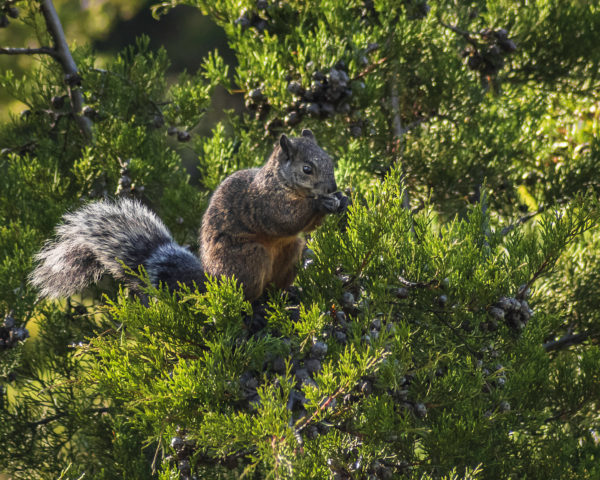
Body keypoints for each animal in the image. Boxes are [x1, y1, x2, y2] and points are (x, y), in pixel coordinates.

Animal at [29, 127, 346, 300]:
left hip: (291, 251)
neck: (282, 182)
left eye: (330, 159)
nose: (332, 186)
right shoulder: (263, 203)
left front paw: (341, 199)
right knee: (247, 293)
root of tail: (211, 283)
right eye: (307, 169)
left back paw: (285, 293)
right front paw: (321, 203)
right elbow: (285, 220)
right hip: (248, 258)